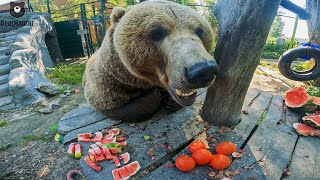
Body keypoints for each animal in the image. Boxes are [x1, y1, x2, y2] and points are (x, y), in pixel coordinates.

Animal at [82, 0, 219, 122]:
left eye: (200, 30)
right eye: (157, 32)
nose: (203, 70)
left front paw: (169, 101)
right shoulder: (110, 81)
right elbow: (109, 103)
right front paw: (153, 97)